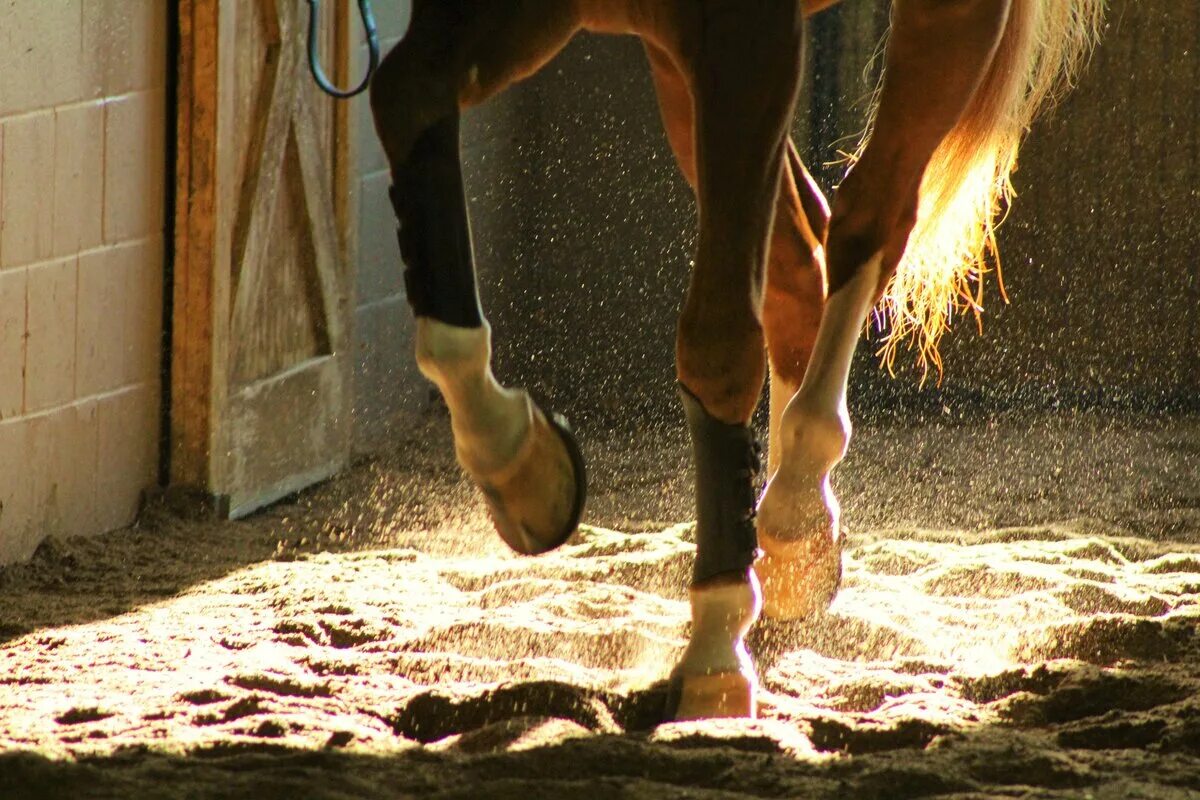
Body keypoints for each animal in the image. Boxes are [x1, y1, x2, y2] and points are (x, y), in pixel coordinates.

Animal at [367, 0, 1104, 724]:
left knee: (867, 220)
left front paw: (715, 651)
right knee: (799, 268)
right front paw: (520, 466)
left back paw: (794, 520)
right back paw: (795, 543)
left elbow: (719, 344)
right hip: (678, 70)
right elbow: (405, 95)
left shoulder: (747, 37)